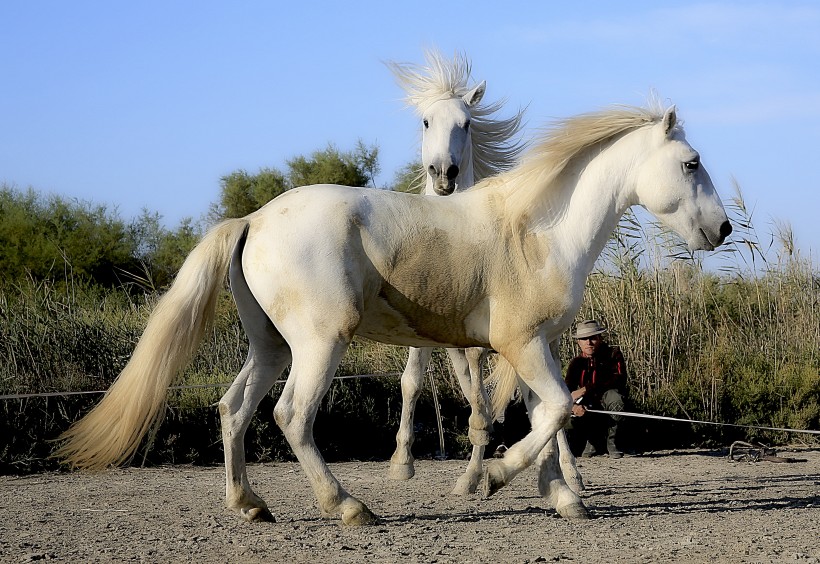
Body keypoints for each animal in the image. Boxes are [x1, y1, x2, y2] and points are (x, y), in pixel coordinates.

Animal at [57, 100, 732, 524]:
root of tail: (252, 219)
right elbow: (558, 412)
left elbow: (548, 417)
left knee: (233, 409)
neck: (539, 230)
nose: (723, 229)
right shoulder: (522, 345)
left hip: (271, 347)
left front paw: (561, 499)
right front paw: (497, 478)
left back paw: (250, 506)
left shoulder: (534, 347)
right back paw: (350, 508)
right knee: (291, 416)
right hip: (319, 345)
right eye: (692, 162)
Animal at [382, 49, 528, 494]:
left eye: (466, 123)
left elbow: (479, 395)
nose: (443, 174)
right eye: (426, 121)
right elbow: (412, 381)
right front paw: (401, 462)